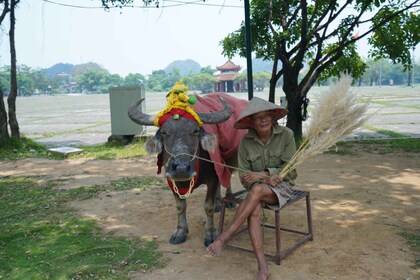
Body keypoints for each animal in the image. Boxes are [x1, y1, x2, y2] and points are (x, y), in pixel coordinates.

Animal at [127, 93, 246, 246]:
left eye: (195, 131)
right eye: (164, 132)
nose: (181, 168)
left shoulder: (213, 176)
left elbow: (208, 206)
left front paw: (210, 234)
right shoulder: (171, 179)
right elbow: (180, 206)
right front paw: (180, 232)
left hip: (230, 157)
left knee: (227, 176)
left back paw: (228, 200)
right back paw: (219, 202)